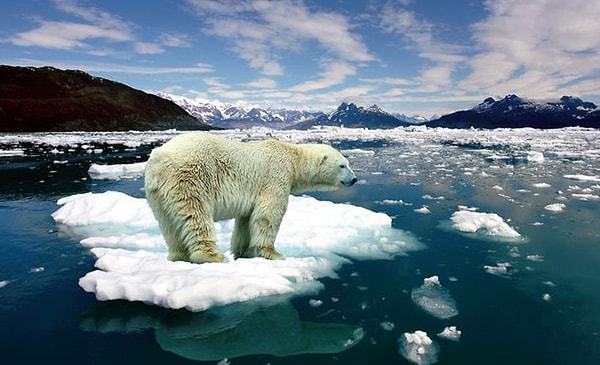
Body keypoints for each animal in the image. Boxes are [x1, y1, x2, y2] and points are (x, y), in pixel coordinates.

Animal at [144, 132, 356, 264]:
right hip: (190, 178)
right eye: (342, 165)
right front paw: (274, 253)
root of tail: (159, 159)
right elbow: (268, 215)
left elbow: (246, 221)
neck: (292, 157)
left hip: (158, 194)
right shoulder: (276, 176)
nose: (354, 179)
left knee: (169, 224)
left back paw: (178, 255)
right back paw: (213, 256)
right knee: (196, 215)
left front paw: (243, 252)